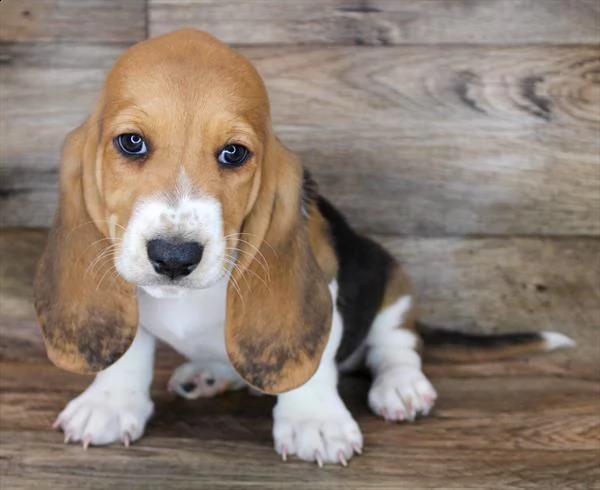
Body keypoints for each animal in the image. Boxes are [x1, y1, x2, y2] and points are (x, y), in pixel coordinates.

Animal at [34, 28, 576, 466]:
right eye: (131, 143)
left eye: (234, 153)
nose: (173, 257)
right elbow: (129, 348)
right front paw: (108, 403)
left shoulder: (330, 286)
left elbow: (315, 364)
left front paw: (314, 421)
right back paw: (210, 374)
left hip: (390, 277)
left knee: (397, 344)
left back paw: (401, 387)